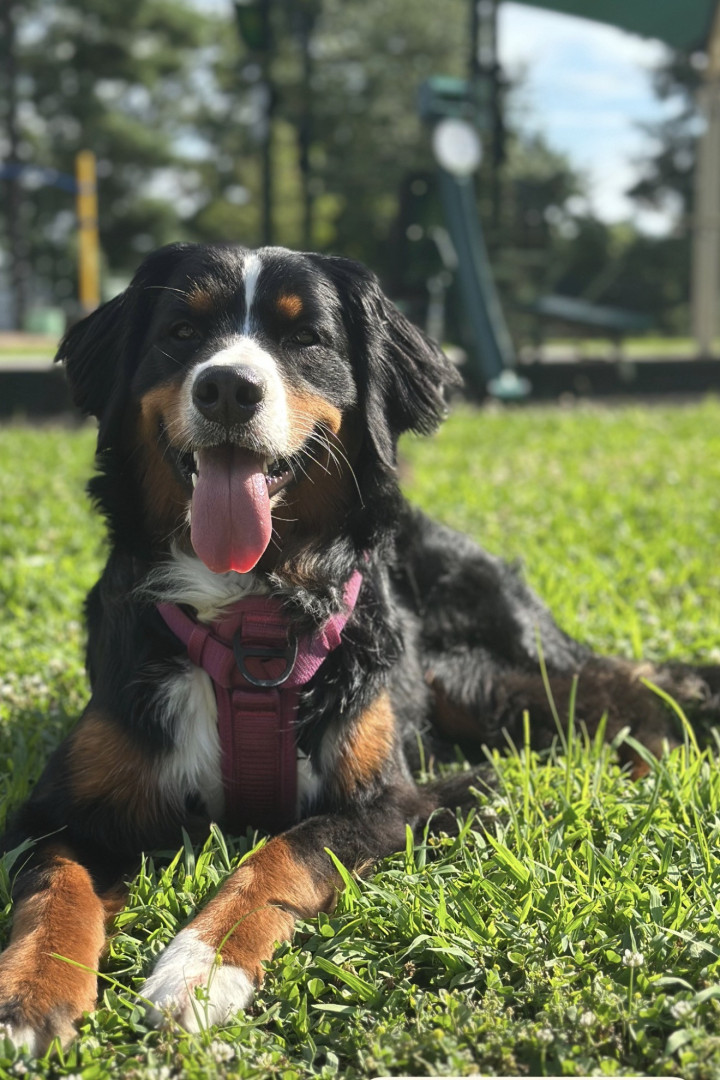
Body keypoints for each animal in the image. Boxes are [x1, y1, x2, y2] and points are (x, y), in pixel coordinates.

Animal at [1, 241, 718, 1053]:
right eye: (182, 333)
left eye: (305, 338)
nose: (227, 389)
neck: (248, 619)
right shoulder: (59, 809)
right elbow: (52, 886)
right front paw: (30, 993)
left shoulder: (395, 797)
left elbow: (281, 854)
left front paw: (200, 968)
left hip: (476, 681)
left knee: (626, 699)